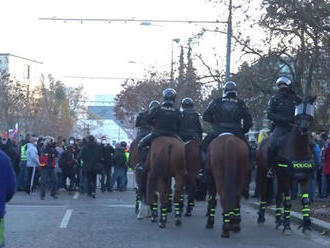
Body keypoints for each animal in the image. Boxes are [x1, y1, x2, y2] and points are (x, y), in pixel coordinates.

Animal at [256, 97, 316, 234]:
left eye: (309, 116)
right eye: (298, 116)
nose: (304, 129)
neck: (298, 148)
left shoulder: (305, 178)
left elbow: (305, 201)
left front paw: (306, 226)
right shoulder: (287, 178)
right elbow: (287, 203)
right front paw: (288, 226)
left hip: (279, 177)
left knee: (278, 197)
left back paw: (279, 220)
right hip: (263, 172)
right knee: (264, 193)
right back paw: (262, 217)